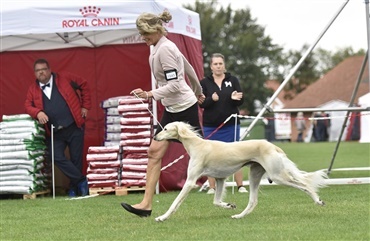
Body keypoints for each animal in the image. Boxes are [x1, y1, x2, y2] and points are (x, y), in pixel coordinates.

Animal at [153, 121, 326, 221]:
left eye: (165, 129)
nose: (154, 138)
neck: (196, 145)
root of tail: (272, 146)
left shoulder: (190, 181)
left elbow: (175, 202)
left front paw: (162, 217)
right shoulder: (220, 179)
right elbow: (216, 201)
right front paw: (229, 205)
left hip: (277, 176)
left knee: (304, 185)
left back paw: (318, 200)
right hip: (255, 174)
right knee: (253, 201)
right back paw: (239, 215)